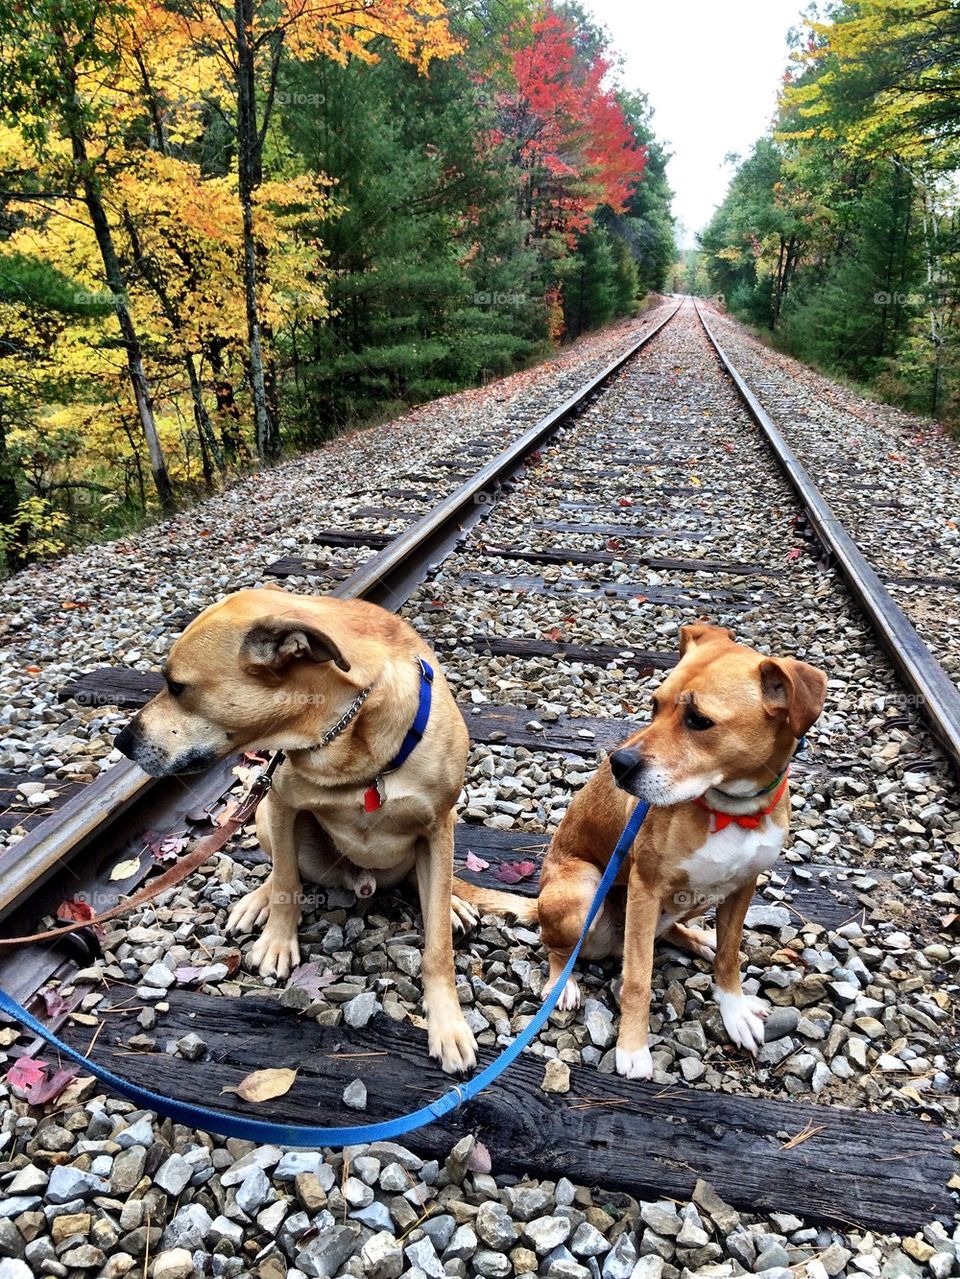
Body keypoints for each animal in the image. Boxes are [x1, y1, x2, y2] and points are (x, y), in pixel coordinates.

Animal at [116, 590, 480, 1079]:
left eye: (176, 686)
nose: (121, 742)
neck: (349, 731)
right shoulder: (283, 803)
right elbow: (287, 880)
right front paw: (276, 940)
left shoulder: (438, 824)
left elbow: (437, 944)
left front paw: (448, 1022)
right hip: (262, 811)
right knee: (279, 869)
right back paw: (255, 902)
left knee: (429, 889)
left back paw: (454, 901)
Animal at [457, 626, 828, 1079]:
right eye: (654, 704)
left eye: (699, 720)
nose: (619, 763)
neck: (730, 811)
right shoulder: (645, 888)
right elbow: (637, 978)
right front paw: (632, 1047)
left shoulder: (743, 886)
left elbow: (729, 956)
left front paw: (734, 1009)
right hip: (583, 892)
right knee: (559, 948)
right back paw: (563, 985)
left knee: (669, 931)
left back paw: (697, 938)